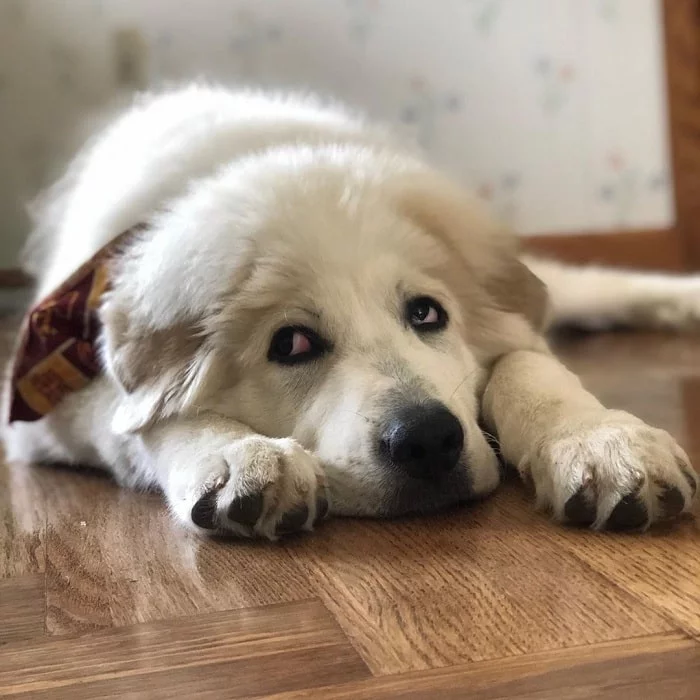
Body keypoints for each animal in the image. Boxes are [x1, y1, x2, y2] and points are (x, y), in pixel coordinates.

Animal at [2, 86, 696, 536]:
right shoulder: (47, 403)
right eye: (292, 344)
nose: (427, 440)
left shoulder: (517, 335)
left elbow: (531, 366)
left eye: (427, 314)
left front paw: (599, 440)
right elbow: (142, 421)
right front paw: (237, 455)